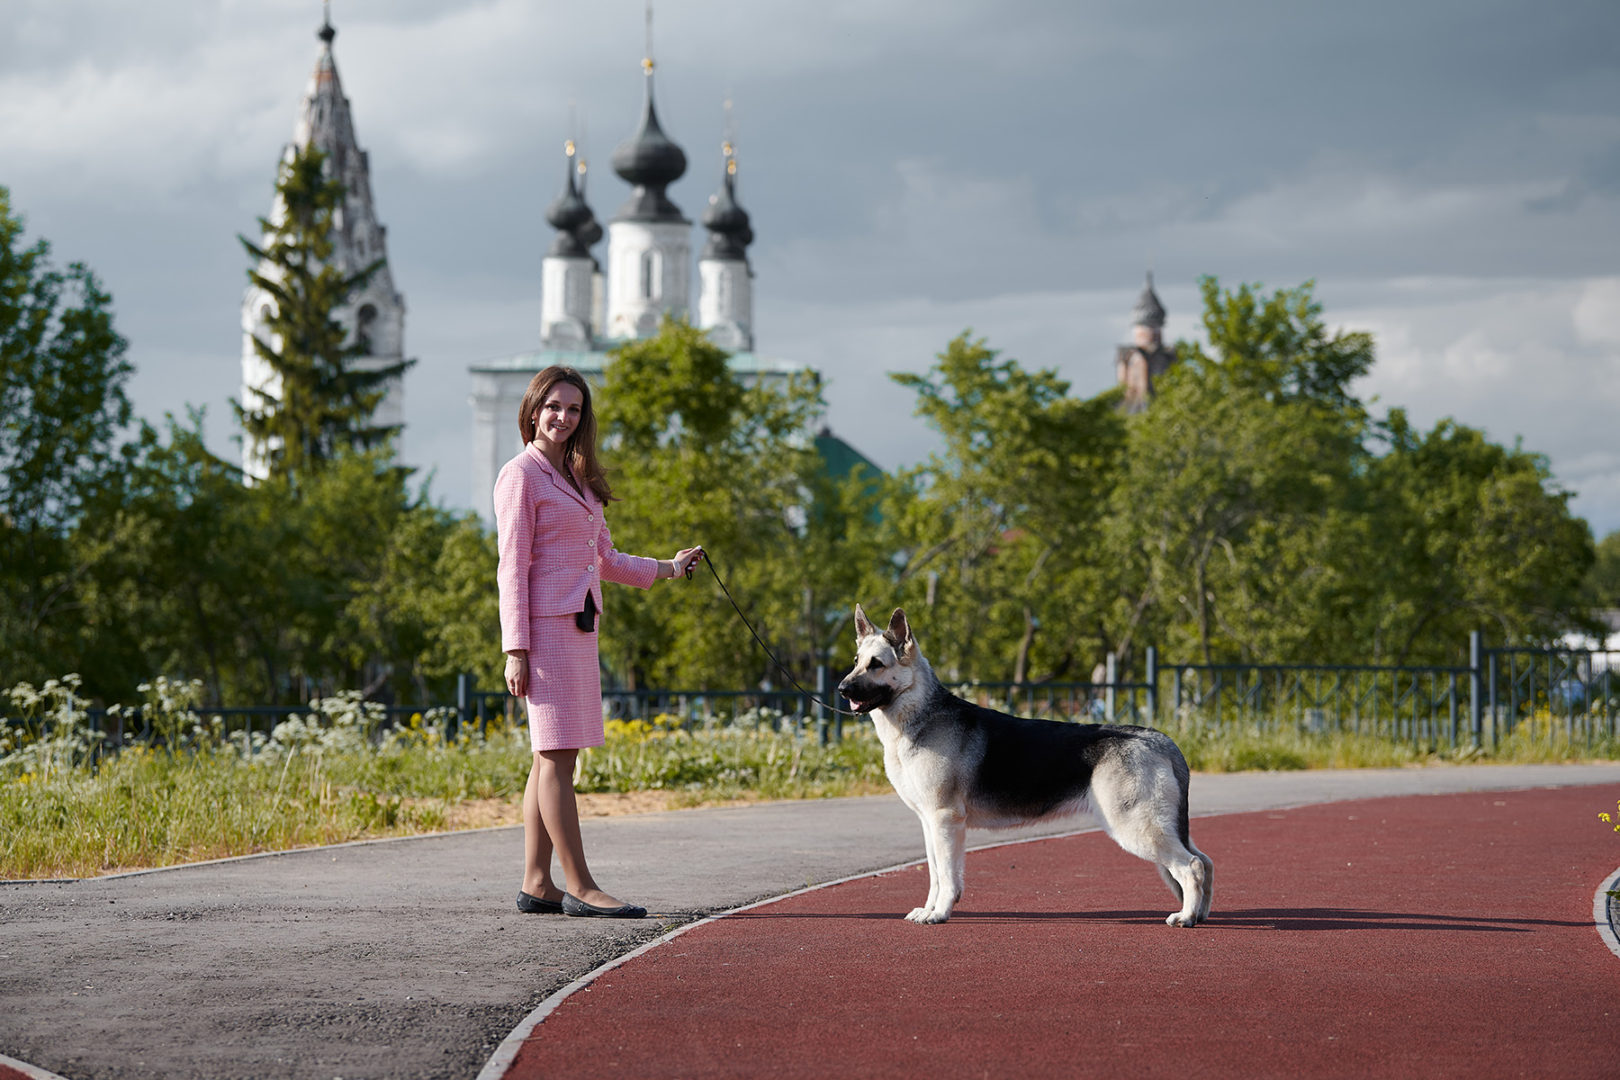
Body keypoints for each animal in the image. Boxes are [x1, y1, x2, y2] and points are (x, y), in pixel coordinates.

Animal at [842, 608, 1211, 932]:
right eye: (856, 662)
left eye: (876, 665)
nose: (841, 689)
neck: (919, 714)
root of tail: (1160, 740)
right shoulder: (929, 823)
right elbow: (936, 874)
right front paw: (930, 909)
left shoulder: (945, 820)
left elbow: (947, 876)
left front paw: (940, 913)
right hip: (1163, 827)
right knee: (1204, 861)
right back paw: (1200, 913)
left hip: (1137, 827)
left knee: (1191, 866)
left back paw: (1185, 917)